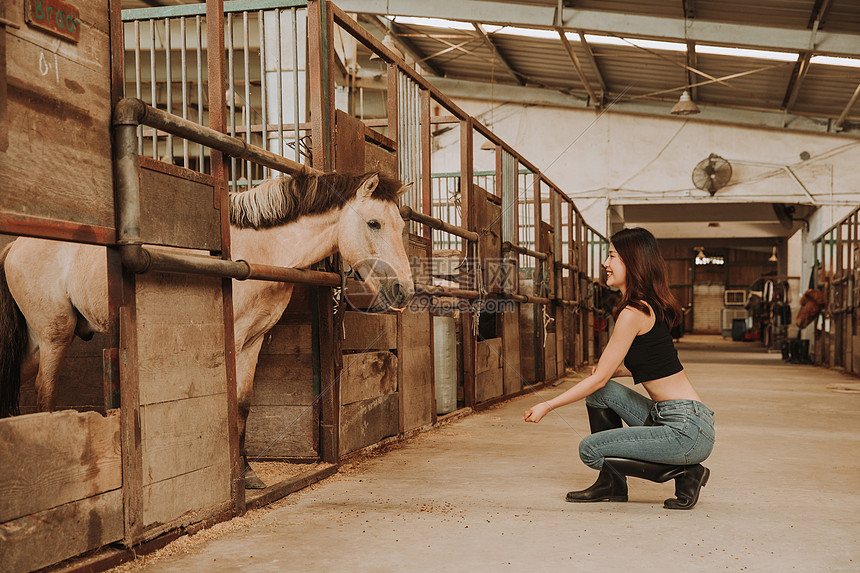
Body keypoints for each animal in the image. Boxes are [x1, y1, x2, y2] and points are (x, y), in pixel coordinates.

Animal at [0, 170, 416, 488]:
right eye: (374, 223)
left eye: (400, 225)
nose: (404, 291)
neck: (258, 252)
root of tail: (16, 245)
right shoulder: (232, 337)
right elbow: (229, 403)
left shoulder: (253, 340)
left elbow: (243, 404)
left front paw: (247, 474)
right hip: (54, 336)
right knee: (45, 394)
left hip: (35, 344)